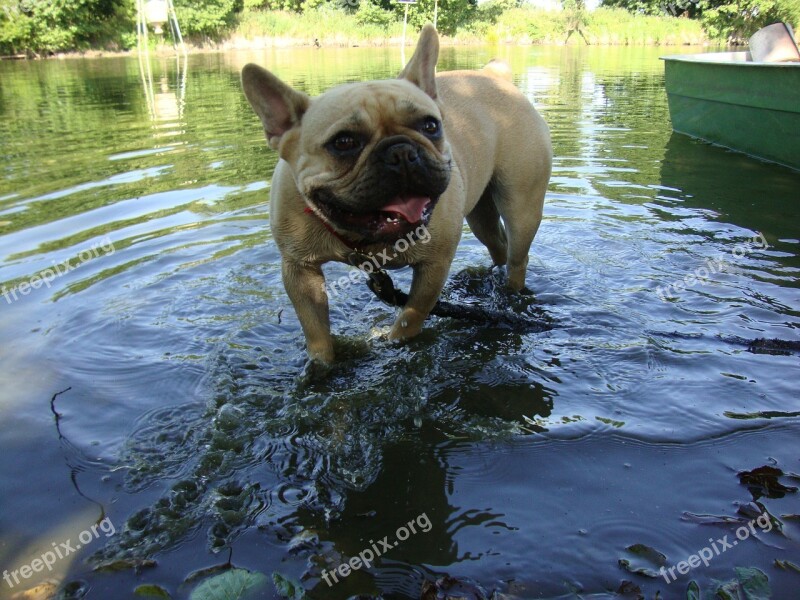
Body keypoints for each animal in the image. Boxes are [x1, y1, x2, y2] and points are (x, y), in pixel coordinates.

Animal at [242, 25, 552, 364]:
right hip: (480, 215)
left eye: (431, 126)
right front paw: (322, 364)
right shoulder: (300, 271)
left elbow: (410, 316)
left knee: (517, 258)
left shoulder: (434, 267)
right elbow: (316, 331)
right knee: (498, 244)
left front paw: (394, 343)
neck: (365, 239)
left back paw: (510, 294)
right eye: (344, 142)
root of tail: (492, 75)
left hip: (521, 207)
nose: (401, 151)